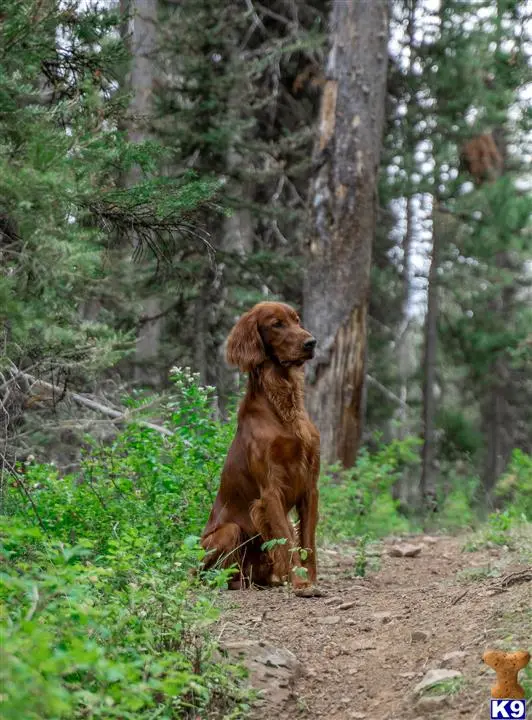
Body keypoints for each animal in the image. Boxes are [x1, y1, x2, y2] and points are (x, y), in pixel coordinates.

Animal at [201, 300, 320, 592]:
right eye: (276, 324)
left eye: (297, 320)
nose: (311, 342)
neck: (283, 407)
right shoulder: (270, 491)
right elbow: (287, 539)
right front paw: (300, 581)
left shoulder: (310, 486)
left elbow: (307, 540)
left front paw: (310, 579)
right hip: (228, 531)